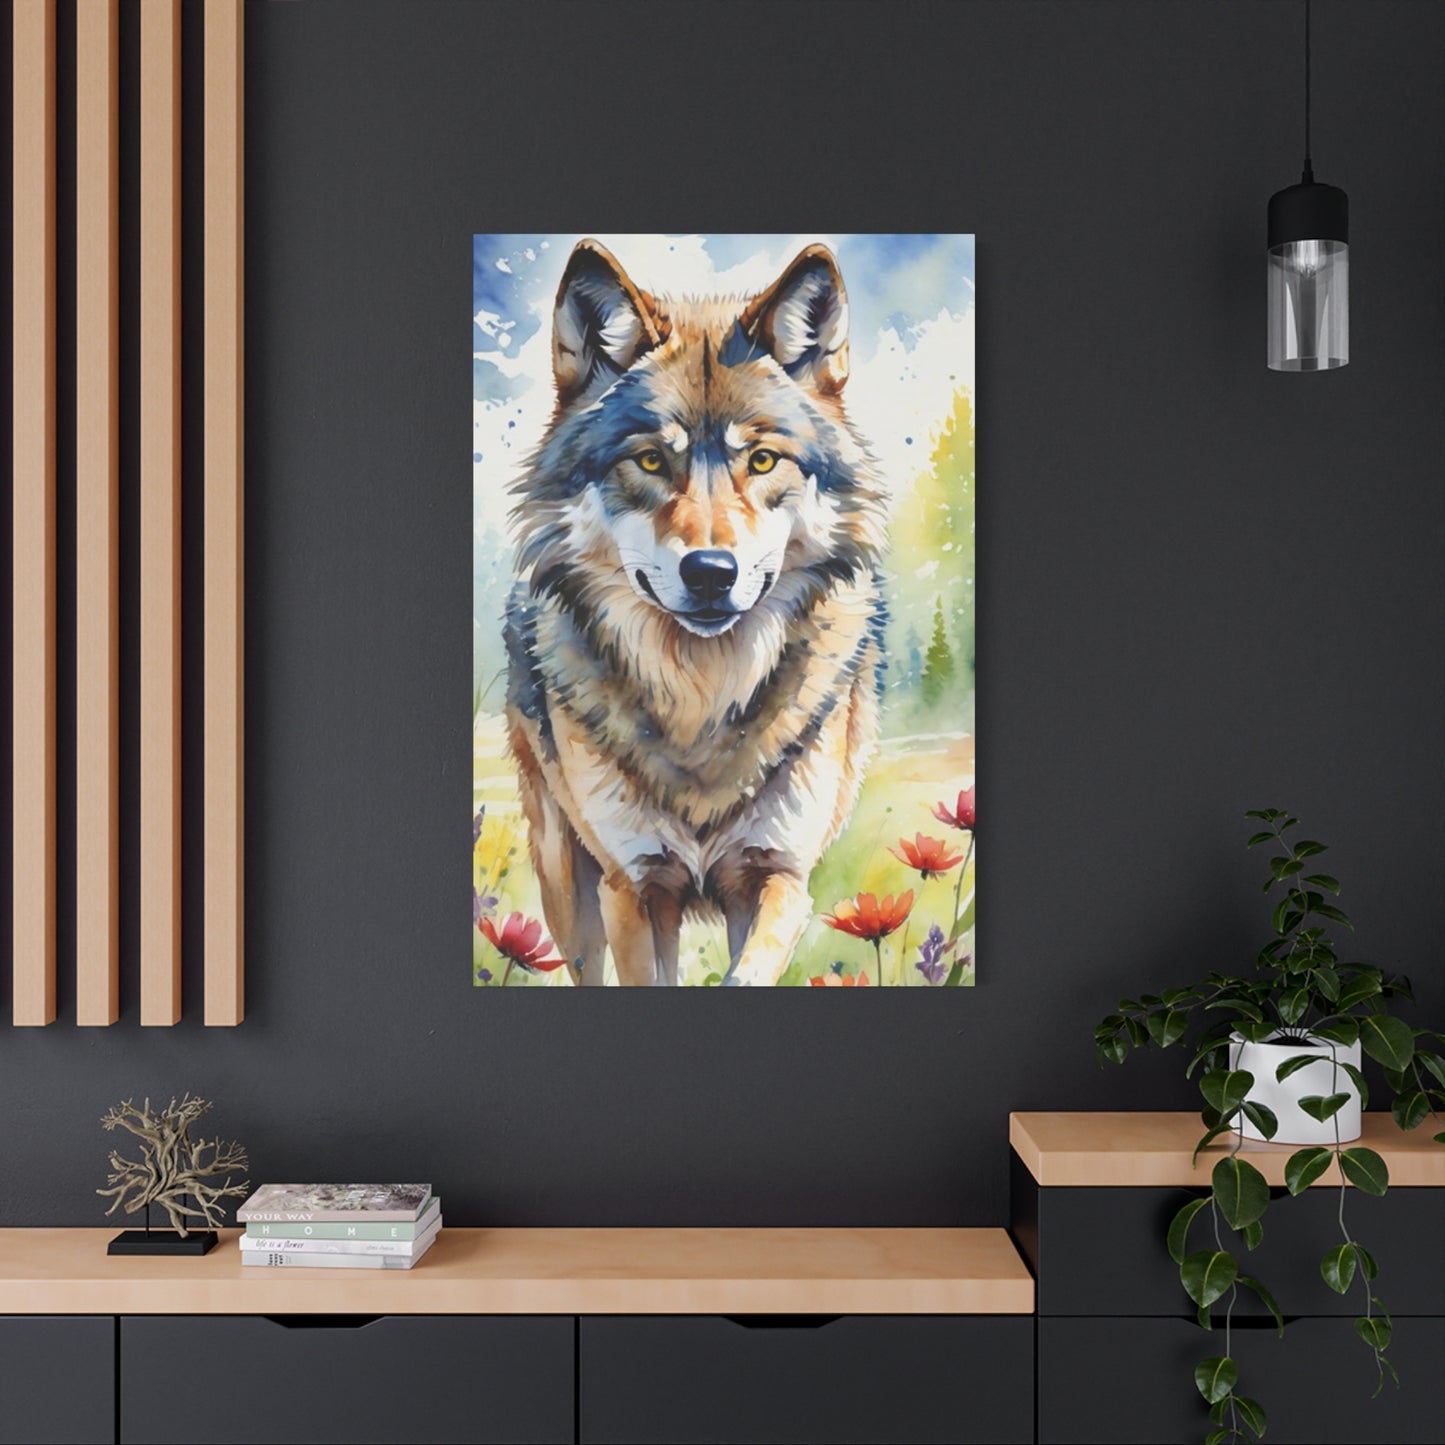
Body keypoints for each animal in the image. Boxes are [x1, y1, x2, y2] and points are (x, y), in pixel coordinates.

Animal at [504, 238, 888, 985]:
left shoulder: (776, 876)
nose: (711, 573)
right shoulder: (634, 884)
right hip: (568, 885)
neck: (703, 700)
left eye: (762, 460)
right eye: (652, 460)